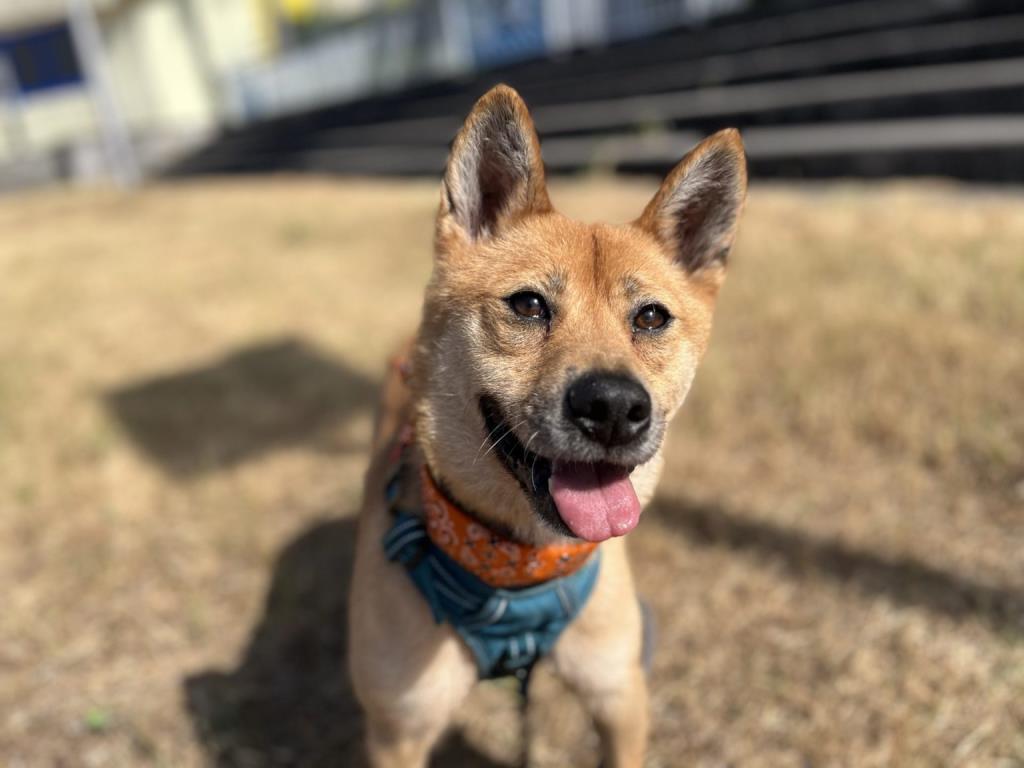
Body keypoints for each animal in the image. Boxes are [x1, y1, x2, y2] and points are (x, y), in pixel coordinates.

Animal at [349, 84, 746, 767]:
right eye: (528, 304)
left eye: (650, 317)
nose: (614, 407)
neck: (517, 577)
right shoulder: (398, 732)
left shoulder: (619, 694)